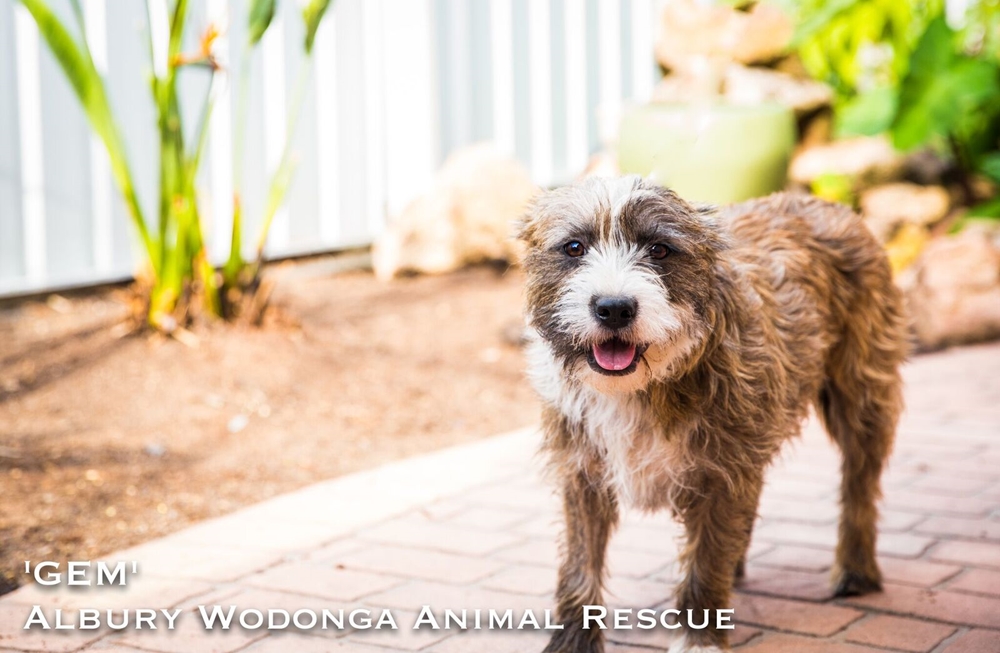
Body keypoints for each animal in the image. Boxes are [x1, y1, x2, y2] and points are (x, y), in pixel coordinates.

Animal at [518, 176, 907, 652]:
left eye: (659, 249)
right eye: (574, 247)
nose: (613, 308)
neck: (643, 386)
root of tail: (822, 202)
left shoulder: (721, 475)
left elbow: (705, 559)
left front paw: (698, 637)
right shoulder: (582, 475)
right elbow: (579, 565)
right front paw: (573, 642)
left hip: (862, 402)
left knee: (859, 487)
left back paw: (855, 567)